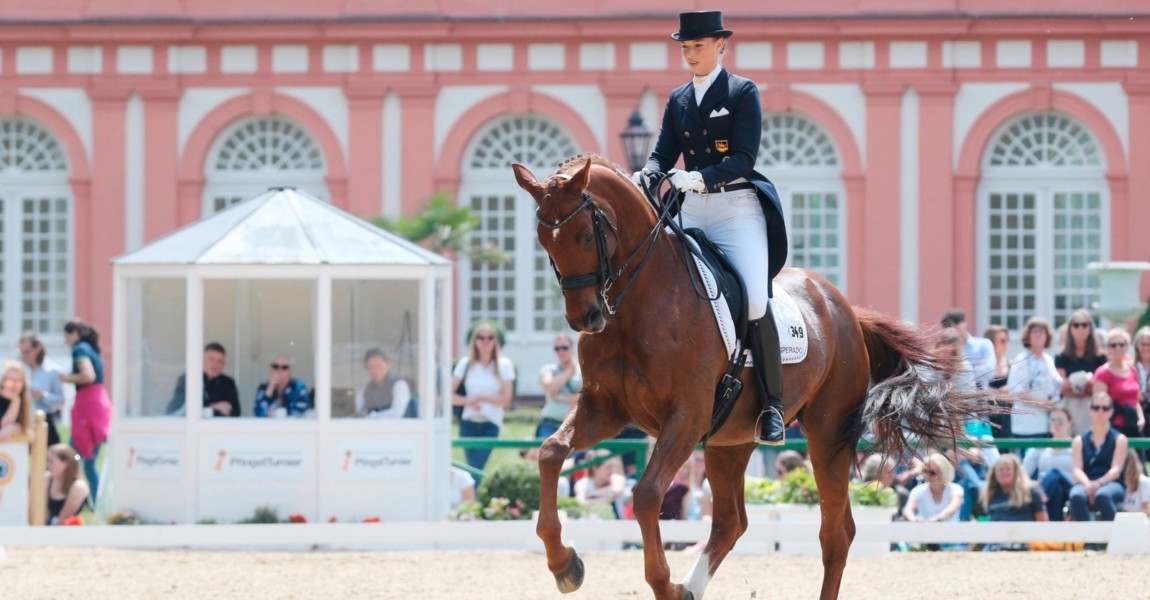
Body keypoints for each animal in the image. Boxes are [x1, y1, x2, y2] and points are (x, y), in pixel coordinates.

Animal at [512, 155, 989, 597]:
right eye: (543, 240)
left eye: (585, 235)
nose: (587, 318)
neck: (639, 303)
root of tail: (846, 310)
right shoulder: (605, 409)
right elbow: (551, 453)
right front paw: (564, 565)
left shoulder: (686, 418)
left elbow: (646, 494)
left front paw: (661, 583)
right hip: (732, 439)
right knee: (730, 522)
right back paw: (690, 589)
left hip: (827, 433)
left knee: (836, 532)